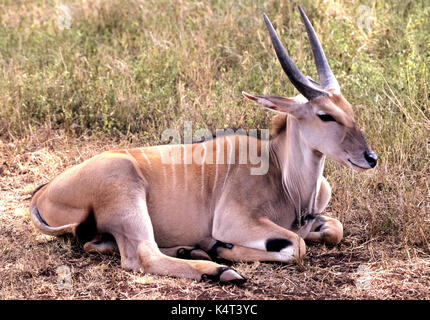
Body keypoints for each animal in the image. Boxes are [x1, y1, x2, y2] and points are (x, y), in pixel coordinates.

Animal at [29, 6, 376, 284]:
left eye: (348, 109)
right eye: (325, 115)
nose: (370, 157)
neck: (281, 174)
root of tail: (43, 194)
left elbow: (334, 229)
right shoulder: (235, 222)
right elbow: (297, 245)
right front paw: (223, 248)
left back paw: (193, 249)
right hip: (127, 196)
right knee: (142, 255)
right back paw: (220, 269)